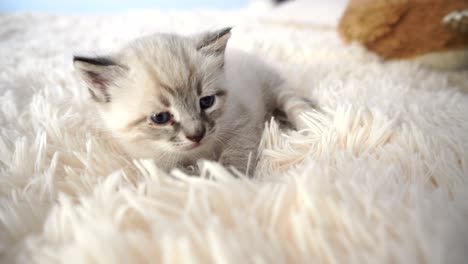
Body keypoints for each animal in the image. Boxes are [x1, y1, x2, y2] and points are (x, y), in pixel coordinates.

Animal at [73, 27, 312, 175]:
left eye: (206, 102)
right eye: (160, 117)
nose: (197, 135)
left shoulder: (241, 124)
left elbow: (235, 155)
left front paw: (227, 180)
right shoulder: (153, 160)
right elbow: (177, 173)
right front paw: (196, 176)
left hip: (274, 88)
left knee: (296, 105)